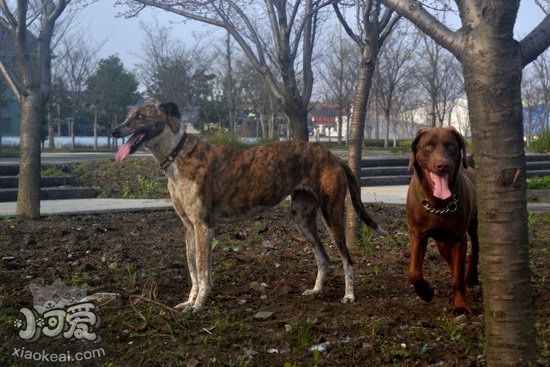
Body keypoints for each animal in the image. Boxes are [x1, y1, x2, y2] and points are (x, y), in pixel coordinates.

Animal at [112, 101, 386, 314]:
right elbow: (194, 271)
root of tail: (334, 157)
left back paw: (349, 296)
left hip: (332, 216)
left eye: (140, 116)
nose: (114, 130)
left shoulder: (203, 226)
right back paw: (316, 290)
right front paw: (190, 301)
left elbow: (201, 269)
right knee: (323, 257)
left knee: (346, 258)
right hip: (301, 218)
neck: (178, 156)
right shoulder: (190, 229)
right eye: (128, 114)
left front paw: (198, 305)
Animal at [408, 128, 480, 314]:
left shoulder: (459, 238)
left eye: (451, 146)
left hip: (473, 225)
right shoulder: (417, 234)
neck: (437, 204)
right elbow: (414, 272)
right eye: (427, 146)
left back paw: (471, 278)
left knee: (475, 249)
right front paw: (426, 293)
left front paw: (461, 306)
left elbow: (458, 277)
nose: (443, 165)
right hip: (442, 242)